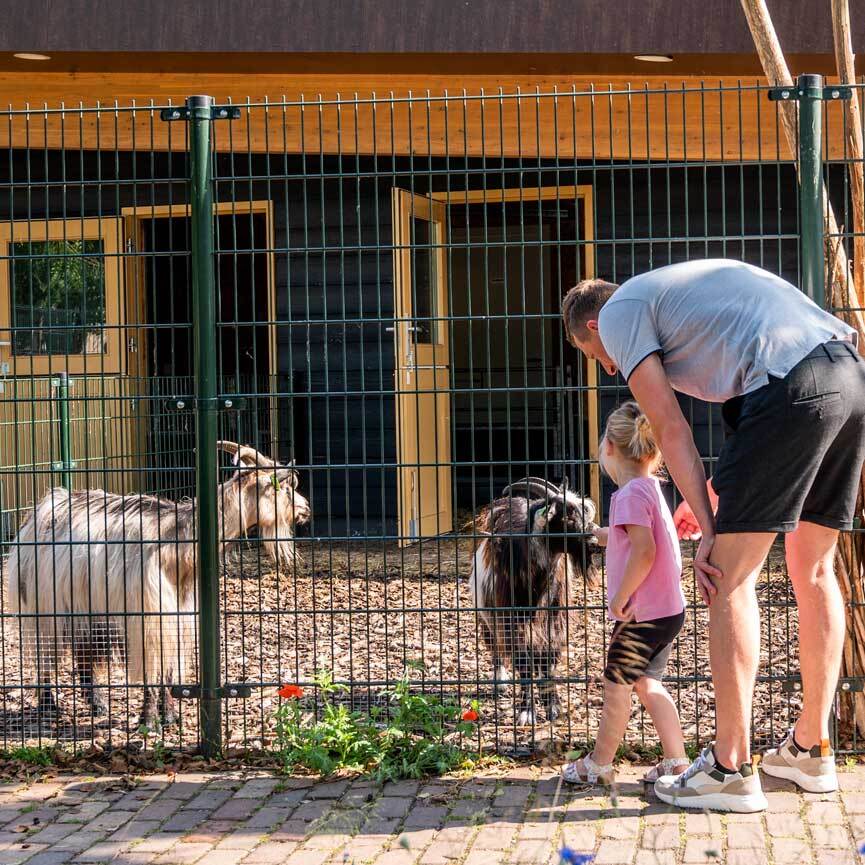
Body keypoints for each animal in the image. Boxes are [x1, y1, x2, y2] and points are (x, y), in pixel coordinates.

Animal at [5, 442, 310, 724]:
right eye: (283, 488)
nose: (306, 508)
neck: (176, 544)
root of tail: (38, 513)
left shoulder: (177, 613)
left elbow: (169, 666)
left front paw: (171, 714)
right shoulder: (147, 615)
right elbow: (152, 665)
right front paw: (150, 718)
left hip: (86, 608)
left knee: (84, 653)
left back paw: (98, 704)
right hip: (45, 606)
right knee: (45, 654)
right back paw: (48, 707)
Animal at [470, 476, 596, 724]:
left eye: (583, 512)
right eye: (566, 516)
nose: (595, 540)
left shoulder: (553, 622)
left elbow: (547, 664)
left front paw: (553, 706)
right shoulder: (513, 623)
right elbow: (524, 665)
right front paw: (527, 712)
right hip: (487, 616)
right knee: (495, 648)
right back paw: (500, 682)